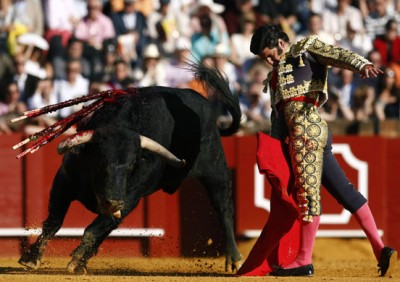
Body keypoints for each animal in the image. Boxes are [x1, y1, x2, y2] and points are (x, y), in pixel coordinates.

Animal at [16, 62, 244, 274]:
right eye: (99, 160)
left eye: (132, 164)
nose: (113, 201)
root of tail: (208, 107)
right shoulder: (64, 181)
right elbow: (54, 221)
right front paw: (31, 258)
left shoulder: (131, 197)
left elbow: (93, 228)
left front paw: (75, 261)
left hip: (215, 169)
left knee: (223, 208)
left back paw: (234, 260)